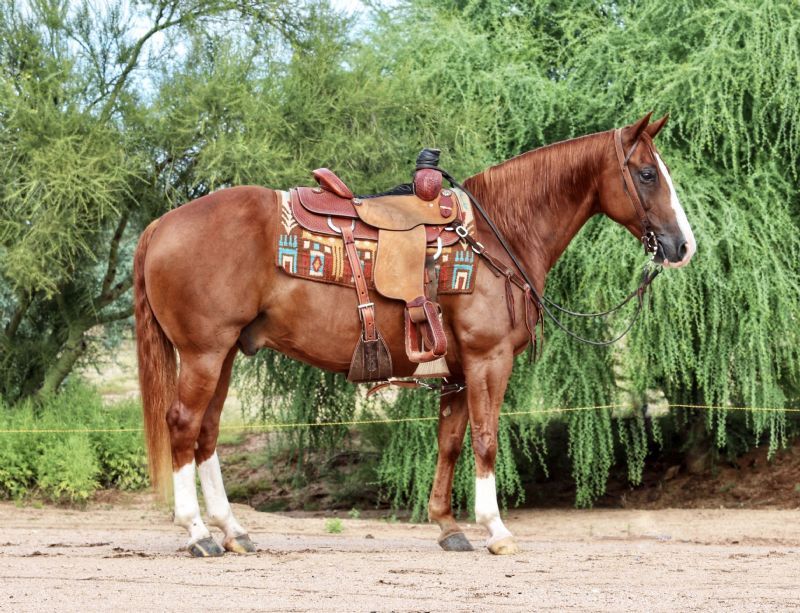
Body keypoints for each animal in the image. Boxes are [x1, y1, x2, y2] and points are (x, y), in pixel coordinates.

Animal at [134, 112, 696, 557]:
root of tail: (160, 225)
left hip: (225, 353)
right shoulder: (489, 360)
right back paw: (197, 533)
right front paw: (495, 529)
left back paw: (233, 530)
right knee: (183, 425)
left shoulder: (457, 372)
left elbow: (450, 442)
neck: (499, 235)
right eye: (647, 173)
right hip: (203, 353)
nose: (682, 245)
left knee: (206, 433)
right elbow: (486, 440)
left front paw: (448, 527)